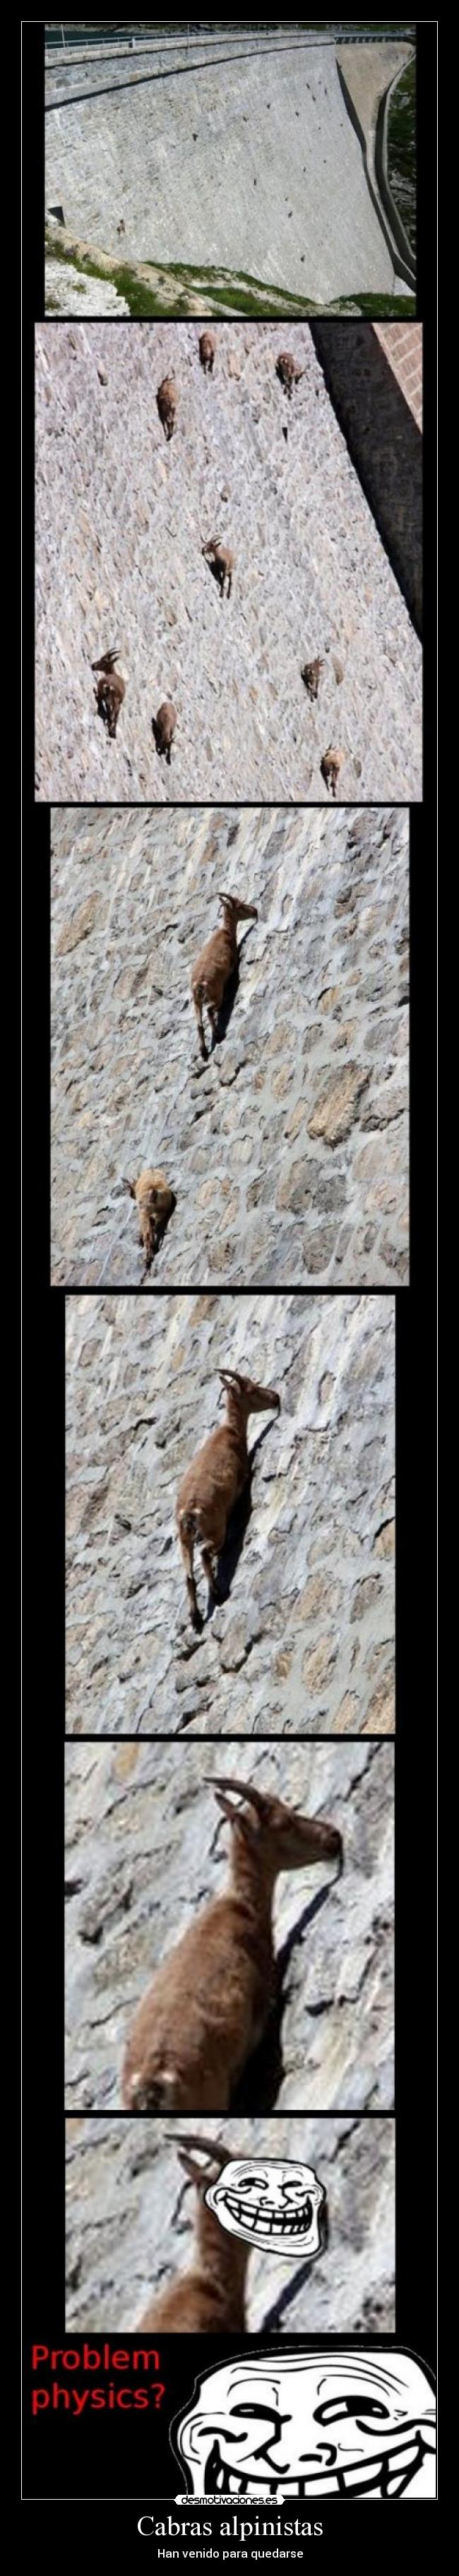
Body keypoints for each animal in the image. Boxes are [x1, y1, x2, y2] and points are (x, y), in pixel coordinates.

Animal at [91, 648, 126, 742]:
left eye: (104, 660)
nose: (93, 666)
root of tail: (109, 685)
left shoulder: (111, 703)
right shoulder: (119, 704)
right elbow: (115, 718)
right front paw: (114, 733)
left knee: (99, 699)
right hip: (115, 703)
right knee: (112, 716)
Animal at [122, 1169, 176, 1276]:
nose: (131, 1194)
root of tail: (154, 1191)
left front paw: (140, 1240)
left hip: (145, 1212)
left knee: (148, 1233)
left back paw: (148, 1260)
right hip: (162, 1211)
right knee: (157, 1227)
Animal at [176, 1367, 280, 1629]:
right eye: (252, 1389)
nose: (276, 1397)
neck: (231, 1430)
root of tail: (189, 1512)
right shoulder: (242, 1478)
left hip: (184, 1540)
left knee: (188, 1575)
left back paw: (196, 1618)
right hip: (215, 1529)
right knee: (205, 1554)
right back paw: (218, 1593)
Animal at [191, 890, 257, 1061]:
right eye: (240, 905)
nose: (255, 911)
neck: (226, 931)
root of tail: (199, 984)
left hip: (196, 1002)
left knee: (199, 1024)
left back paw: (203, 1051)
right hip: (216, 994)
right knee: (209, 1011)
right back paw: (219, 1035)